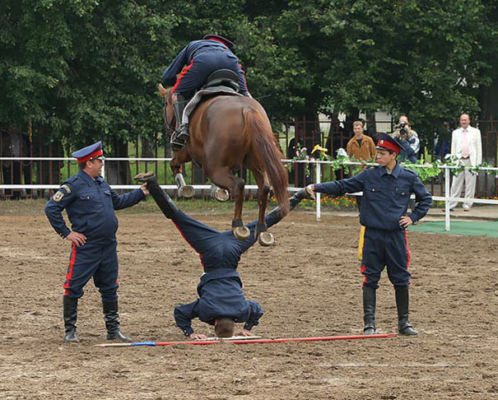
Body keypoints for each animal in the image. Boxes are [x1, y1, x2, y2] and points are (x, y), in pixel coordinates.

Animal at [158, 84, 286, 245]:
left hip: (214, 168)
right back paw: (262, 229)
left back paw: (238, 225)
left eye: (165, 104)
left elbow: (174, 164)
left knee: (239, 185)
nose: (168, 129)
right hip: (256, 165)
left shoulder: (185, 151)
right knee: (264, 189)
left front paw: (184, 188)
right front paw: (218, 191)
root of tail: (247, 110)